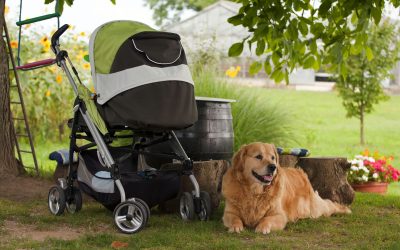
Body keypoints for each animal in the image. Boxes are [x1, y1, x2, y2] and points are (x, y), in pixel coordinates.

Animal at [222, 143, 350, 234]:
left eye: (273, 157)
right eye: (258, 156)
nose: (273, 167)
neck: (255, 192)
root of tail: (299, 171)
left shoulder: (280, 215)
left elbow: (267, 219)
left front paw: (262, 227)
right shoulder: (228, 213)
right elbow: (234, 218)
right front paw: (235, 226)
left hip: (315, 209)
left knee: (330, 204)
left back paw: (345, 210)